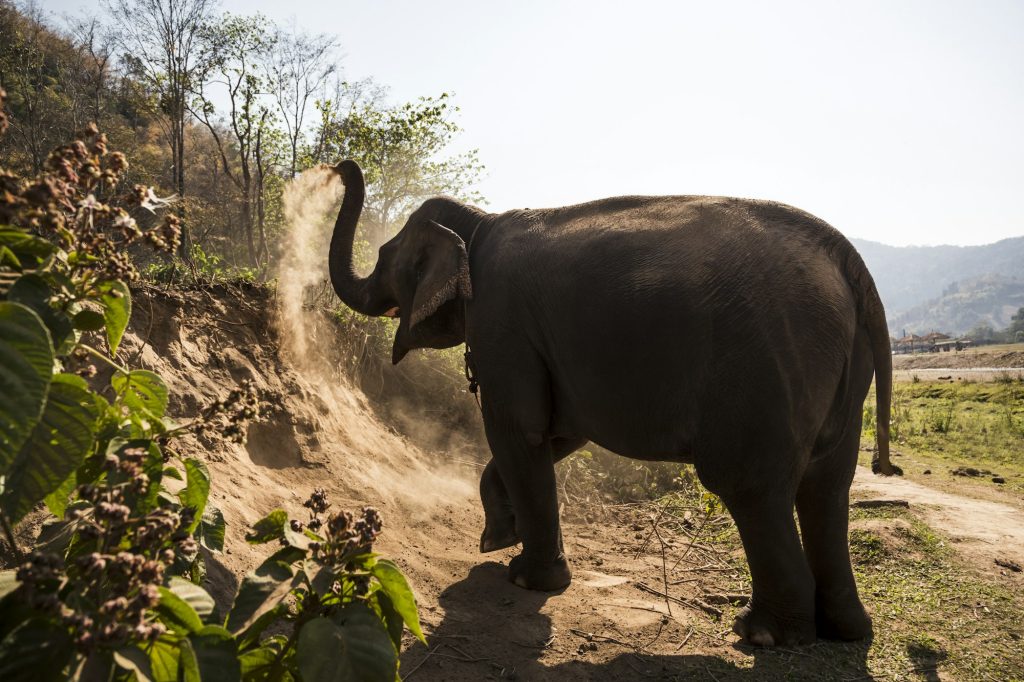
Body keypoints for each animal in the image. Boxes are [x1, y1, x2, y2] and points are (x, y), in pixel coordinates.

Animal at [325, 157, 897, 643]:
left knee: (751, 486)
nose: (336, 167)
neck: (478, 222)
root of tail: (848, 261)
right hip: (841, 365)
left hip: (765, 365)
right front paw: (498, 539)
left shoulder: (501, 316)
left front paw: (526, 579)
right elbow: (558, 432)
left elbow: (518, 429)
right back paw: (847, 630)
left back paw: (762, 634)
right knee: (826, 484)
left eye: (383, 256)